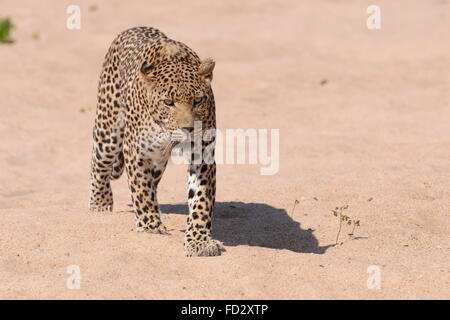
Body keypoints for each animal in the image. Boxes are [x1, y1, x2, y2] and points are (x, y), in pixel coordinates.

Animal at [87, 27, 224, 258]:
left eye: (198, 100)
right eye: (168, 102)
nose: (188, 129)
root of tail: (133, 28)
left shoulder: (203, 155)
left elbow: (201, 199)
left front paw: (199, 240)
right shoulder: (137, 151)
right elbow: (141, 189)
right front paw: (150, 226)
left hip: (158, 161)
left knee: (153, 183)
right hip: (108, 131)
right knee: (99, 165)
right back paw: (100, 203)